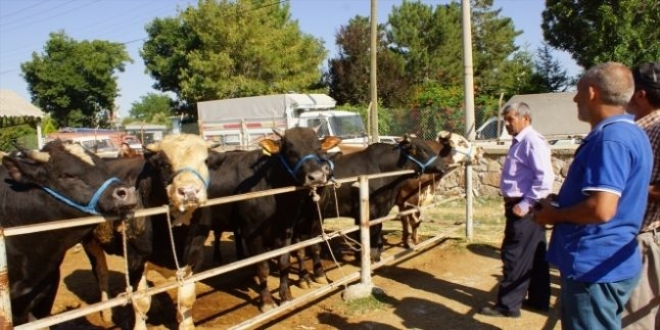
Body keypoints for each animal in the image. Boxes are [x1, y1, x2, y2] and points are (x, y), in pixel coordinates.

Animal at [80, 133, 211, 330]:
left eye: (205, 160)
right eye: (164, 164)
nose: (189, 192)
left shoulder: (195, 257)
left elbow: (186, 299)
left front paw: (187, 325)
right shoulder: (135, 259)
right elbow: (141, 302)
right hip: (89, 241)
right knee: (101, 272)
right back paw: (107, 312)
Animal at [205, 127, 340, 312]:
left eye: (319, 148)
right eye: (290, 151)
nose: (317, 176)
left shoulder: (288, 228)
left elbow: (287, 260)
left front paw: (286, 296)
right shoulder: (253, 234)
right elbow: (262, 267)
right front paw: (267, 301)